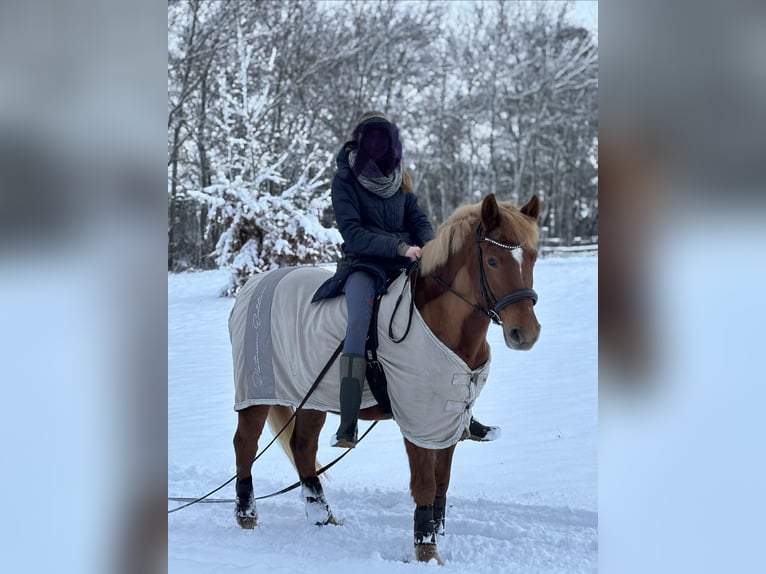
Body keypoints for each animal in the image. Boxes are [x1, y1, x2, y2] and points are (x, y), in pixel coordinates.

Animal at [228, 193, 541, 564]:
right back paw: (247, 516)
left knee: (302, 448)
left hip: (313, 397)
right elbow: (424, 484)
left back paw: (322, 516)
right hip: (256, 394)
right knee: (245, 445)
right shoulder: (418, 422)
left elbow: (442, 481)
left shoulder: (447, 419)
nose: (526, 333)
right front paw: (427, 550)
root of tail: (253, 284)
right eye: (493, 261)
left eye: (532, 257)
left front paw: (435, 533)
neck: (441, 323)